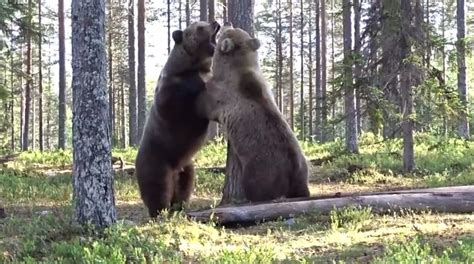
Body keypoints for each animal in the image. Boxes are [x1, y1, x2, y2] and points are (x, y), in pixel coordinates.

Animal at [135, 21, 220, 218]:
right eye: (200, 27)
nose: (216, 22)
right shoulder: (169, 91)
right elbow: (171, 104)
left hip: (186, 167)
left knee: (184, 188)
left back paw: (179, 207)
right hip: (157, 160)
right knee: (157, 189)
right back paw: (160, 212)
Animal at [197, 23, 312, 202]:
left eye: (227, 32)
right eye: (235, 28)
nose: (227, 23)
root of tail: (295, 177)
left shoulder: (219, 97)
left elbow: (203, 102)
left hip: (259, 171)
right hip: (303, 165)